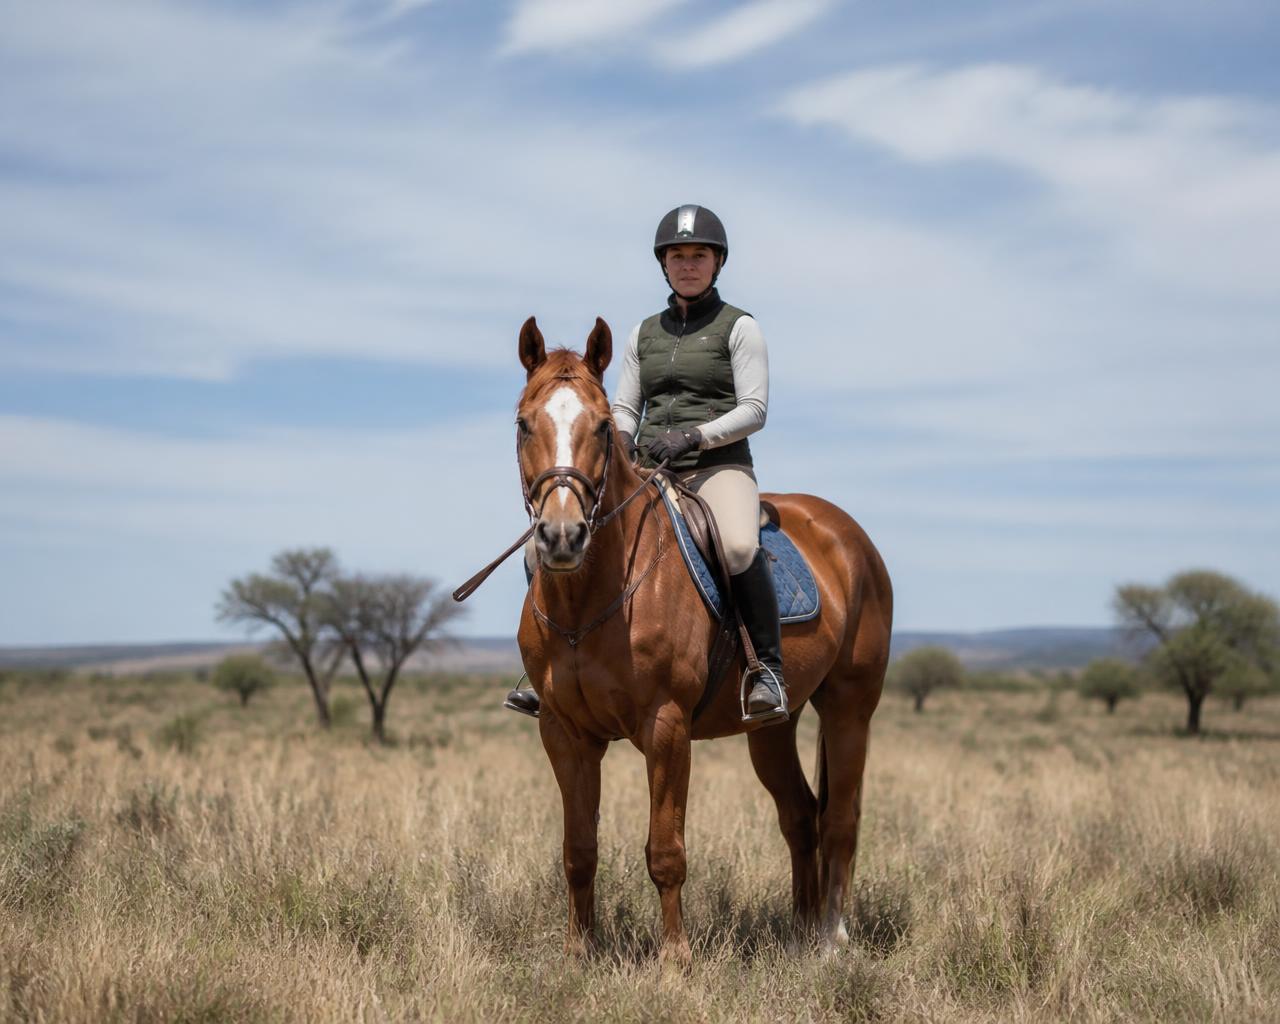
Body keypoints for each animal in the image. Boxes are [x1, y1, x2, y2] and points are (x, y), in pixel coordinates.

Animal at [512, 316, 893, 961]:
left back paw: (830, 938)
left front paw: (675, 961)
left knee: (840, 819)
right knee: (801, 815)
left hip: (850, 710)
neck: (589, 601)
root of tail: (846, 535)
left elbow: (665, 852)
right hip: (773, 726)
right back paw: (800, 931)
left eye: (601, 428)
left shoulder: (666, 728)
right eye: (523, 423)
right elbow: (578, 851)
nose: (562, 536)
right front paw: (577, 955)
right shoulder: (564, 733)